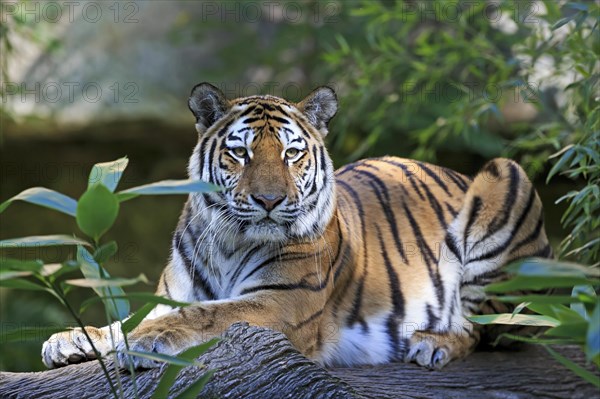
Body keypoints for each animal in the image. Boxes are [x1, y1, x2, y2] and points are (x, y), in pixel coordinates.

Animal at [39, 83, 552, 372]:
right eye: (240, 152)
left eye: (291, 153)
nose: (269, 201)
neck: (230, 242)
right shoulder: (175, 292)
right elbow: (132, 317)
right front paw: (72, 339)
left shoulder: (282, 302)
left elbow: (204, 315)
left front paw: (147, 342)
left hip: (505, 177)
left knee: (486, 325)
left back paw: (432, 345)